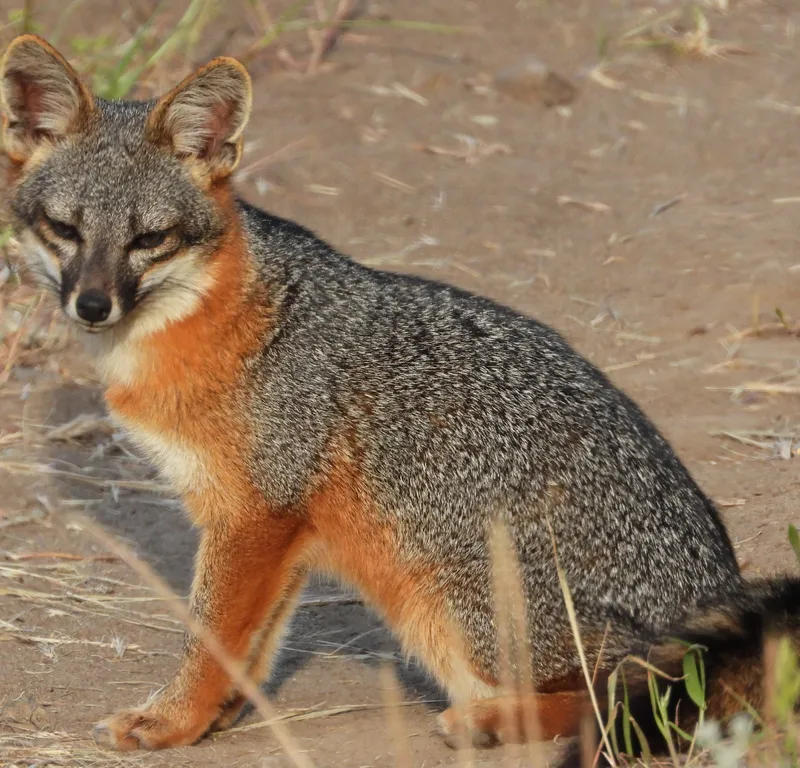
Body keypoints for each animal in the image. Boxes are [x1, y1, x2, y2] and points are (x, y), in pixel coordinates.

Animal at [2, 33, 797, 763]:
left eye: (150, 239)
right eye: (65, 229)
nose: (91, 305)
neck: (220, 317)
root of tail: (716, 584)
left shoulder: (253, 515)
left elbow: (211, 639)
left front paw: (170, 721)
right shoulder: (279, 527)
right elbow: (253, 644)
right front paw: (217, 716)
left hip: (448, 601)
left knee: (627, 695)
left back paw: (491, 720)